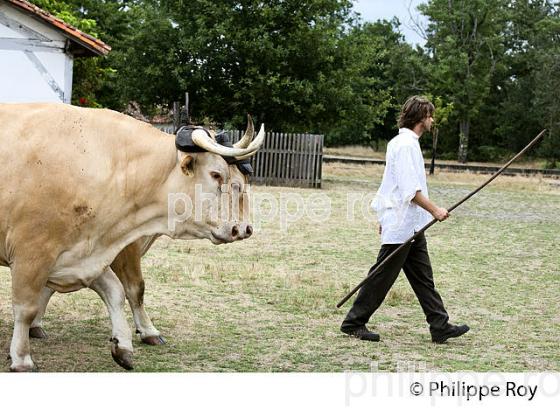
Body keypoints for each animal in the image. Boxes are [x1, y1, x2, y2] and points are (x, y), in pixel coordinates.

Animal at [0, 103, 264, 372]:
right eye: (216, 175)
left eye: (242, 181)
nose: (242, 228)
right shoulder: (33, 253)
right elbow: (26, 308)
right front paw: (22, 357)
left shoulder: (87, 253)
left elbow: (114, 292)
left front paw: (123, 345)